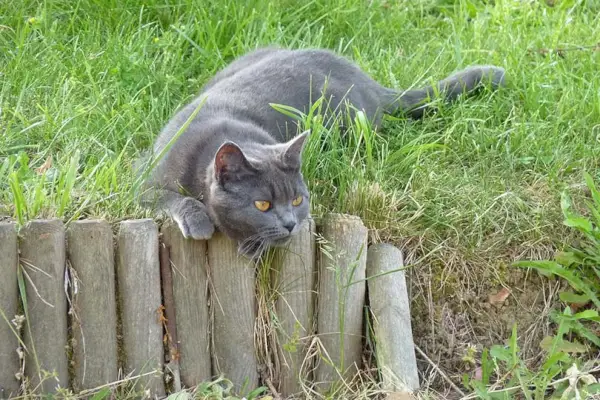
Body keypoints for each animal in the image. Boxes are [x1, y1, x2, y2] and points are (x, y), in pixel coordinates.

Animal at [142, 46, 506, 256]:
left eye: (297, 200)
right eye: (262, 204)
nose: (291, 224)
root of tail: (368, 81)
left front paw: (252, 247)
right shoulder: (141, 181)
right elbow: (168, 197)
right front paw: (199, 221)